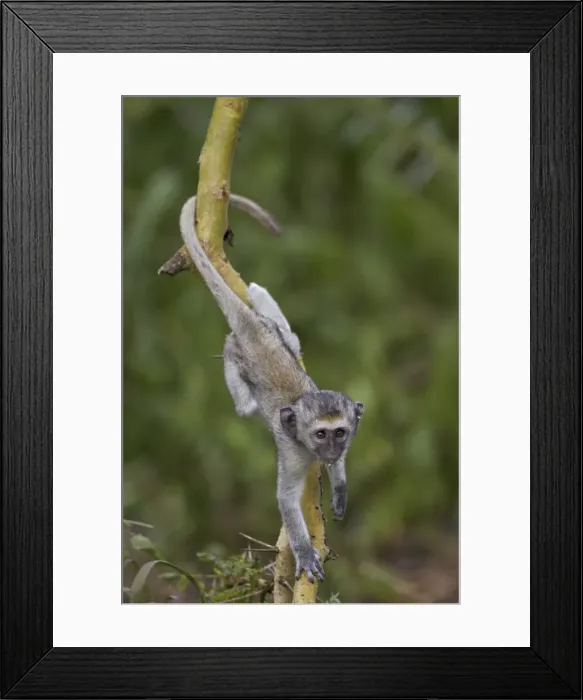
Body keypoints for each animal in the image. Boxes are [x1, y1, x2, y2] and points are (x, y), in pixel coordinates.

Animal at [179, 194, 364, 582]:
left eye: (340, 433)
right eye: (321, 435)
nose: (331, 450)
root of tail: (251, 327)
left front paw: (339, 486)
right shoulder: (294, 453)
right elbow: (286, 499)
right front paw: (305, 552)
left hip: (275, 332)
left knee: (290, 337)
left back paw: (257, 293)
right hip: (239, 360)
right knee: (244, 400)